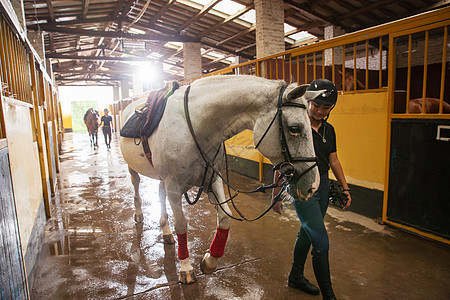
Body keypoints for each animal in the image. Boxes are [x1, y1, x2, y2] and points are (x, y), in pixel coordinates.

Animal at [119, 75, 320, 284]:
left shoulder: (213, 179)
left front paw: (209, 261)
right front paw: (186, 267)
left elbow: (225, 218)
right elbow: (181, 224)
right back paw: (139, 215)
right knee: (136, 187)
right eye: (295, 128)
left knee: (160, 194)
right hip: (135, 170)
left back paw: (166, 232)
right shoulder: (173, 186)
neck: (196, 127)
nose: (313, 185)